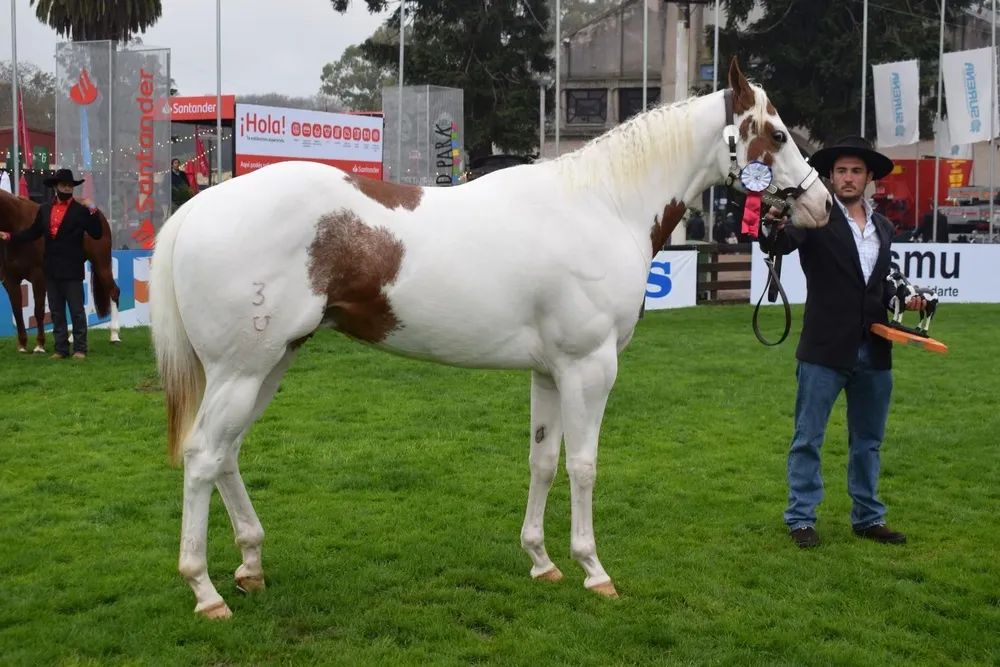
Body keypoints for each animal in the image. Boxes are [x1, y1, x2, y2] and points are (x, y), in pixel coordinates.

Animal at [150, 57, 833, 619]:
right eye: (777, 134)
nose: (822, 206)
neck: (603, 206)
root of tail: (198, 207)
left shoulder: (549, 371)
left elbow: (542, 461)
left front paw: (542, 561)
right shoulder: (590, 368)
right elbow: (584, 466)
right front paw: (594, 570)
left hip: (268, 365)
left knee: (228, 455)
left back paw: (250, 566)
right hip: (242, 370)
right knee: (204, 456)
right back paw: (205, 590)